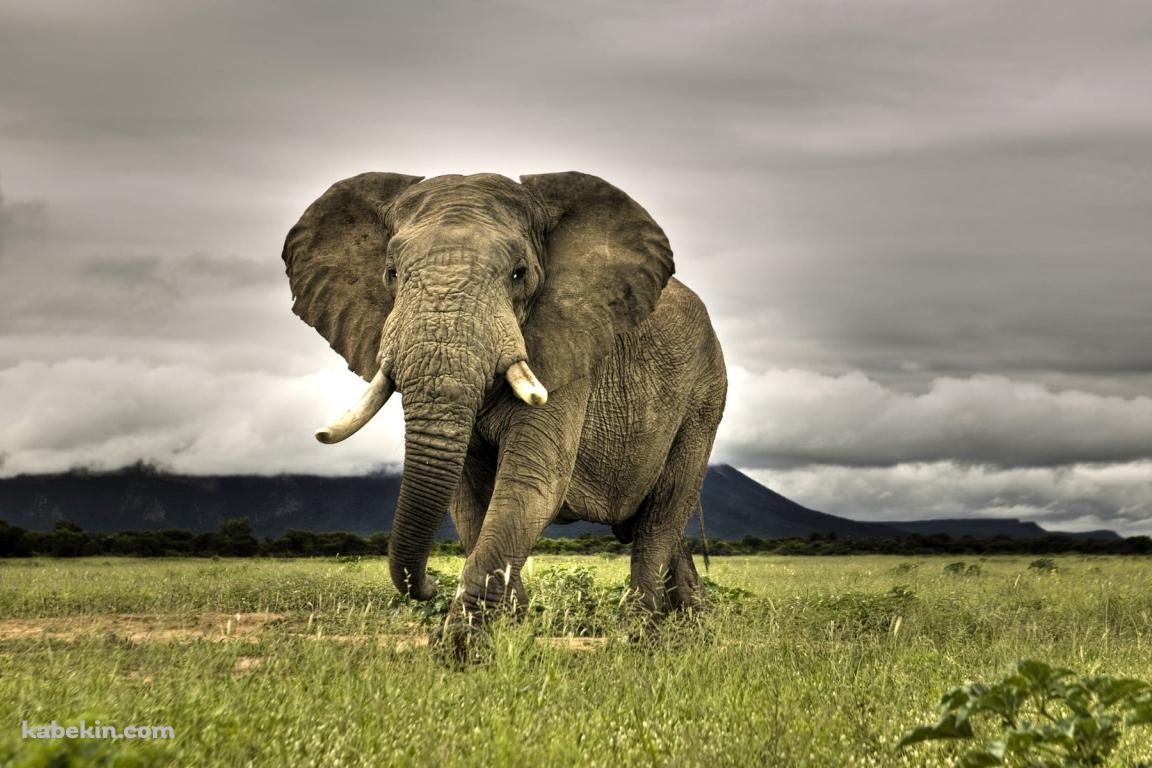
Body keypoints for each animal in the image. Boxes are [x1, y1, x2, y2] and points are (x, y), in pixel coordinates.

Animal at [282, 171, 726, 655]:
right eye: (391, 273)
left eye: (519, 274)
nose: (428, 587)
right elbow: (468, 498)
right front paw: (511, 631)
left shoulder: (567, 352)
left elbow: (531, 483)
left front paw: (462, 650)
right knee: (659, 524)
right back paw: (695, 626)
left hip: (704, 399)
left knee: (661, 516)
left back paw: (636, 638)